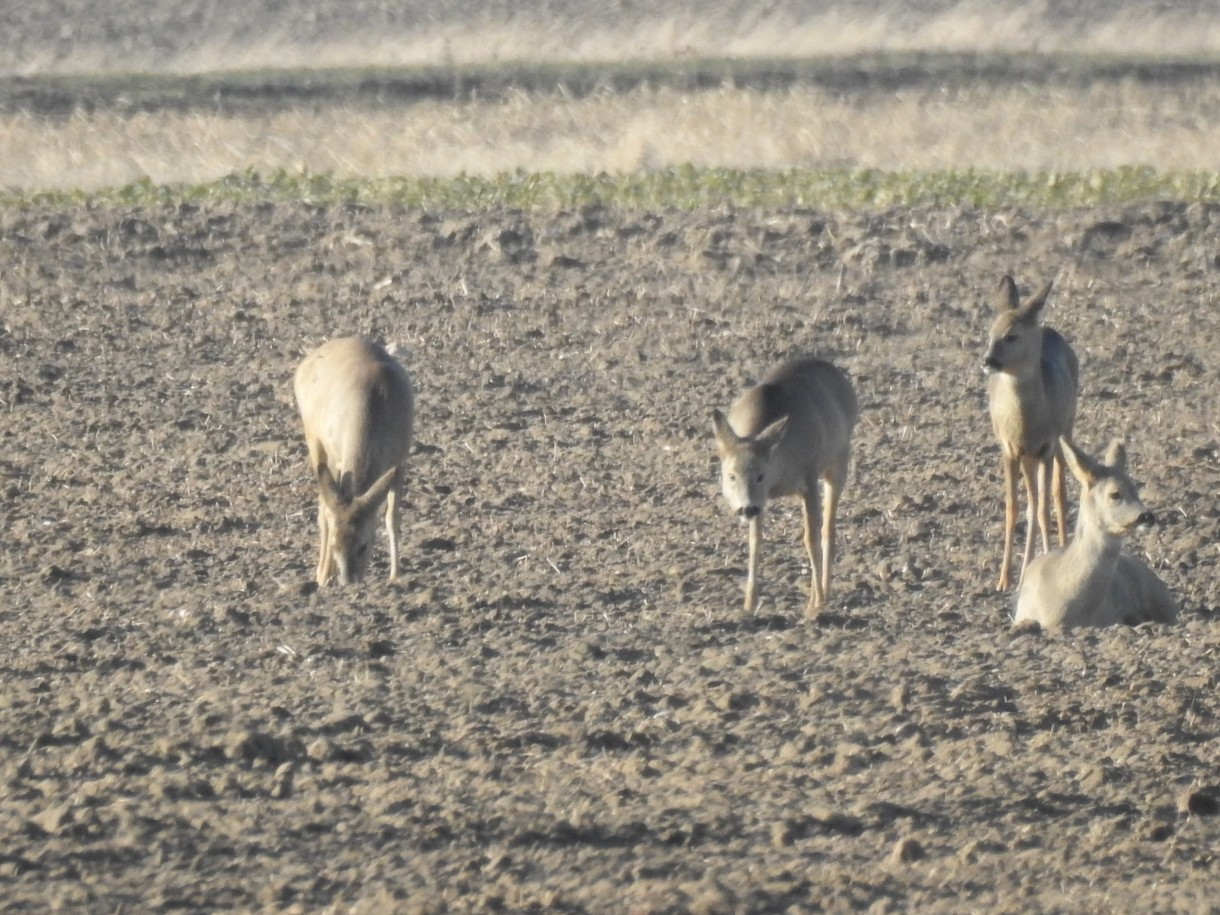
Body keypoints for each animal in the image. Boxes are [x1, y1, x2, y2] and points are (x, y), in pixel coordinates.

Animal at [294, 336, 414, 588]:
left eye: (364, 546)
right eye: (335, 546)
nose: (349, 581)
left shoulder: (401, 459)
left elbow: (392, 518)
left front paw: (396, 574)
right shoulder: (339, 456)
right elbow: (328, 513)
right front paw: (325, 575)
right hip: (314, 438)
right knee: (323, 509)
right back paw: (322, 575)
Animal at [712, 353, 858, 619]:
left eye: (761, 475)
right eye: (731, 476)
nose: (746, 509)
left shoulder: (809, 480)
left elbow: (810, 539)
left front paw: (816, 604)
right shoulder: (760, 500)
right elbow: (755, 542)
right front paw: (749, 604)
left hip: (838, 461)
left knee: (827, 530)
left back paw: (823, 594)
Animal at [980, 272, 1078, 590]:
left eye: (1012, 336)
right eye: (990, 334)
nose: (987, 361)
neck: (1025, 423)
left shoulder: (1046, 446)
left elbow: (1045, 507)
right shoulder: (1009, 450)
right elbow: (1014, 509)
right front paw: (1004, 579)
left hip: (1066, 430)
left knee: (1058, 493)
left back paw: (1062, 548)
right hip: (1028, 458)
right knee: (1032, 503)